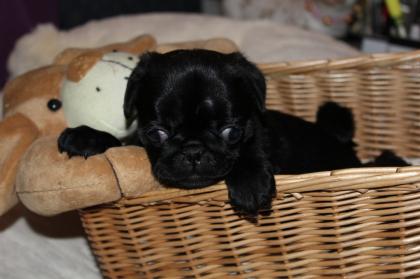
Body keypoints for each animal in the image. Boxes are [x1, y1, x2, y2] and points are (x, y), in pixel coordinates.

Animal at [57, 49, 362, 217]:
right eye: (157, 133)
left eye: (230, 131)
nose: (193, 151)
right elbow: (122, 143)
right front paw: (87, 137)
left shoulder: (254, 134)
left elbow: (251, 147)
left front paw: (250, 182)